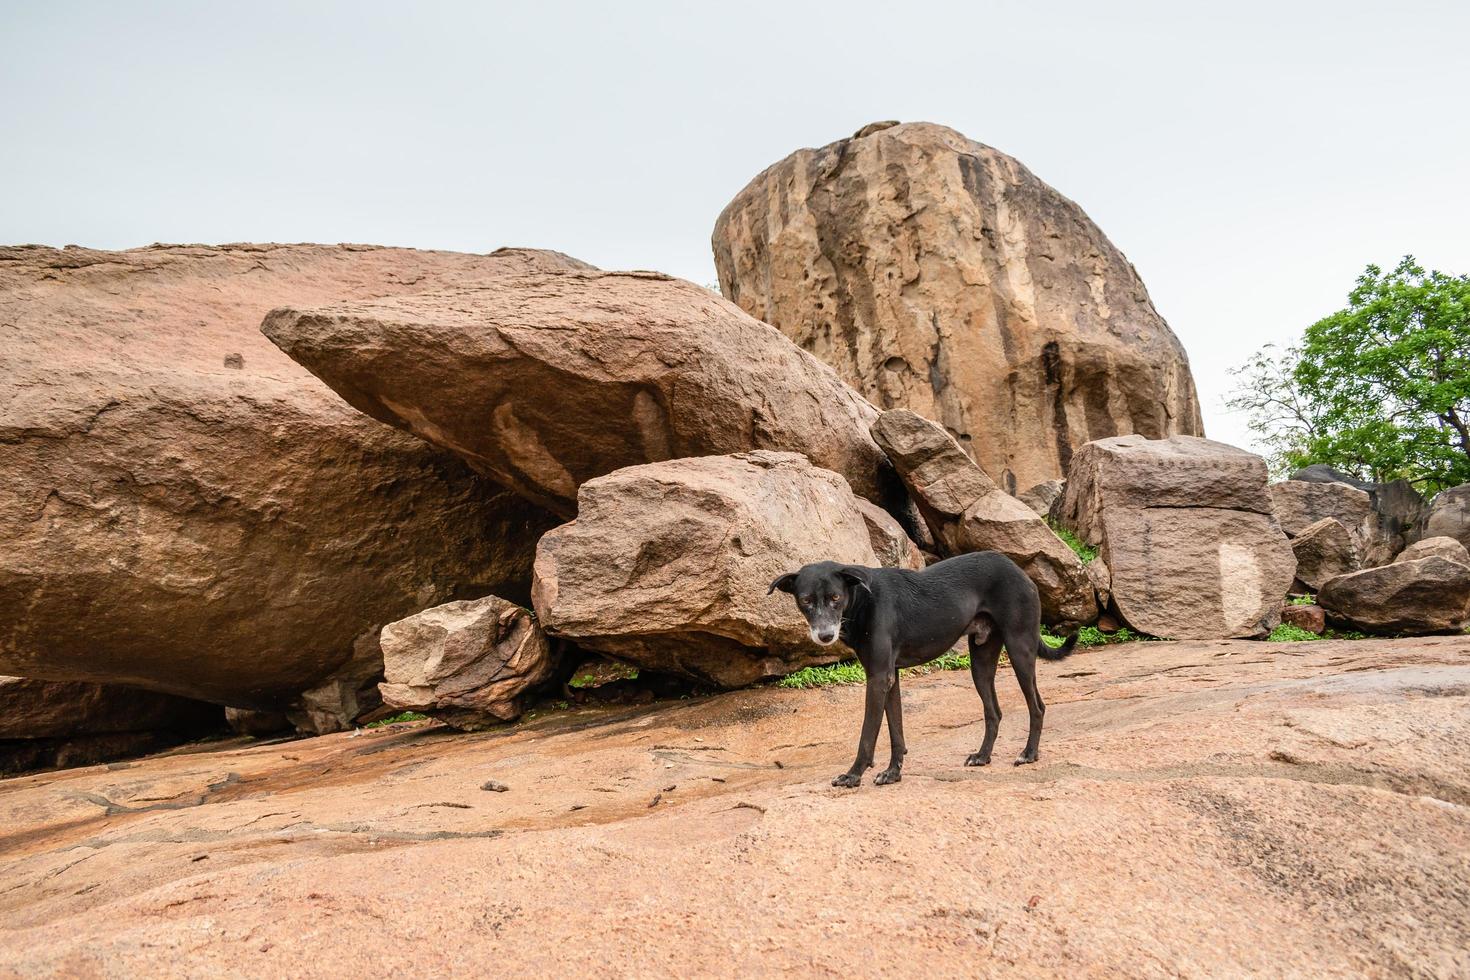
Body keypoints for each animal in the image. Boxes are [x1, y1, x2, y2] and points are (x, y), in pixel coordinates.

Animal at [770, 552, 1081, 787]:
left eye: (835, 598)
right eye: (806, 600)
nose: (825, 636)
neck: (862, 600)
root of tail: (1020, 571)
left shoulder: (878, 678)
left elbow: (868, 734)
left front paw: (853, 775)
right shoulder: (889, 678)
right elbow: (896, 731)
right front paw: (893, 773)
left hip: (1019, 650)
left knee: (1037, 707)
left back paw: (1029, 753)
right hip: (981, 663)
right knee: (994, 712)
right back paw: (982, 756)